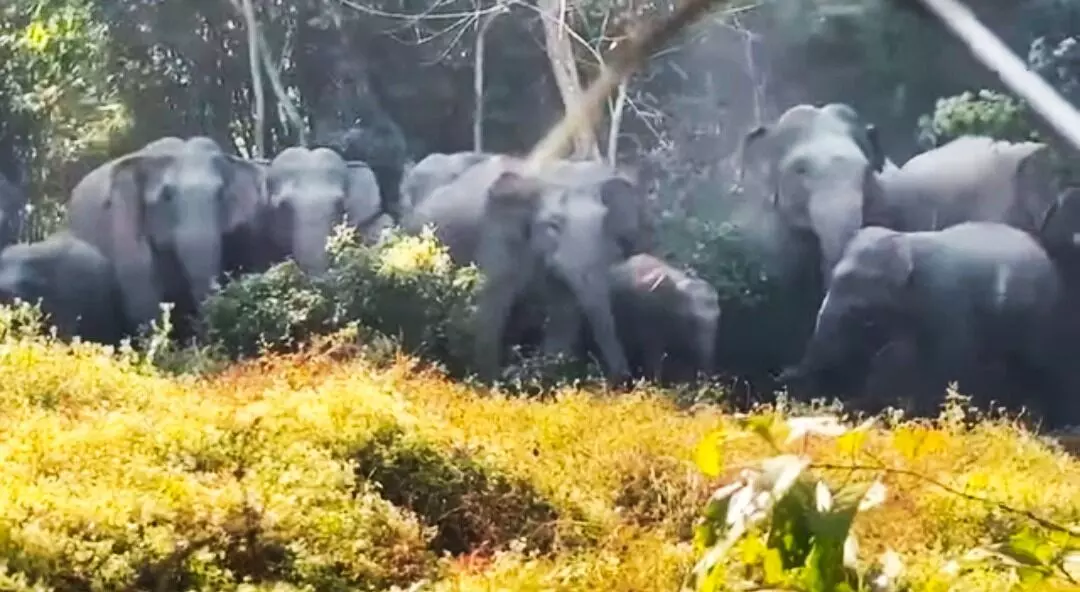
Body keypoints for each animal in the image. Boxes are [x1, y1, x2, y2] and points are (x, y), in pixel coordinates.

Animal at [781, 222, 1077, 428]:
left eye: (856, 301)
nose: (783, 376)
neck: (906, 241)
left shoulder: (946, 299)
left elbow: (946, 361)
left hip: (1042, 312)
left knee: (1042, 365)